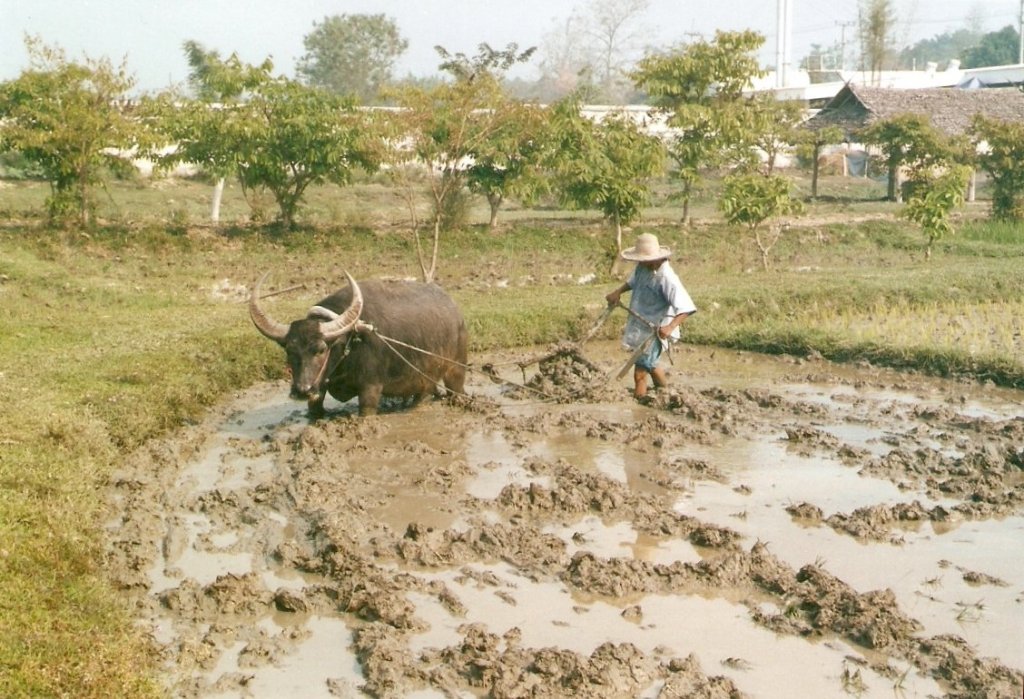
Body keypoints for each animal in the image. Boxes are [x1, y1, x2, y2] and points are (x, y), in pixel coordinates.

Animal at [251, 272, 468, 415]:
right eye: (290, 351)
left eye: (321, 350)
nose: (302, 390)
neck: (348, 344)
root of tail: (456, 312)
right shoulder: (319, 389)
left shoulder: (370, 390)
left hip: (456, 369)